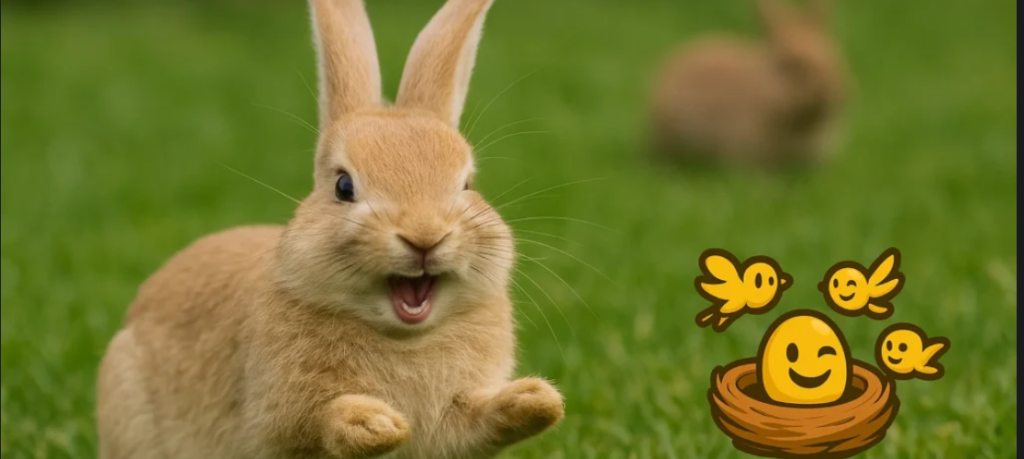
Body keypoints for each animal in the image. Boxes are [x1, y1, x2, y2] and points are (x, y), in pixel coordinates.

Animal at [95, 1, 565, 458]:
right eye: (343, 186)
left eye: (467, 184)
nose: (425, 236)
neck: (404, 337)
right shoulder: (279, 418)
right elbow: (318, 422)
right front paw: (375, 423)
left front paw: (537, 399)